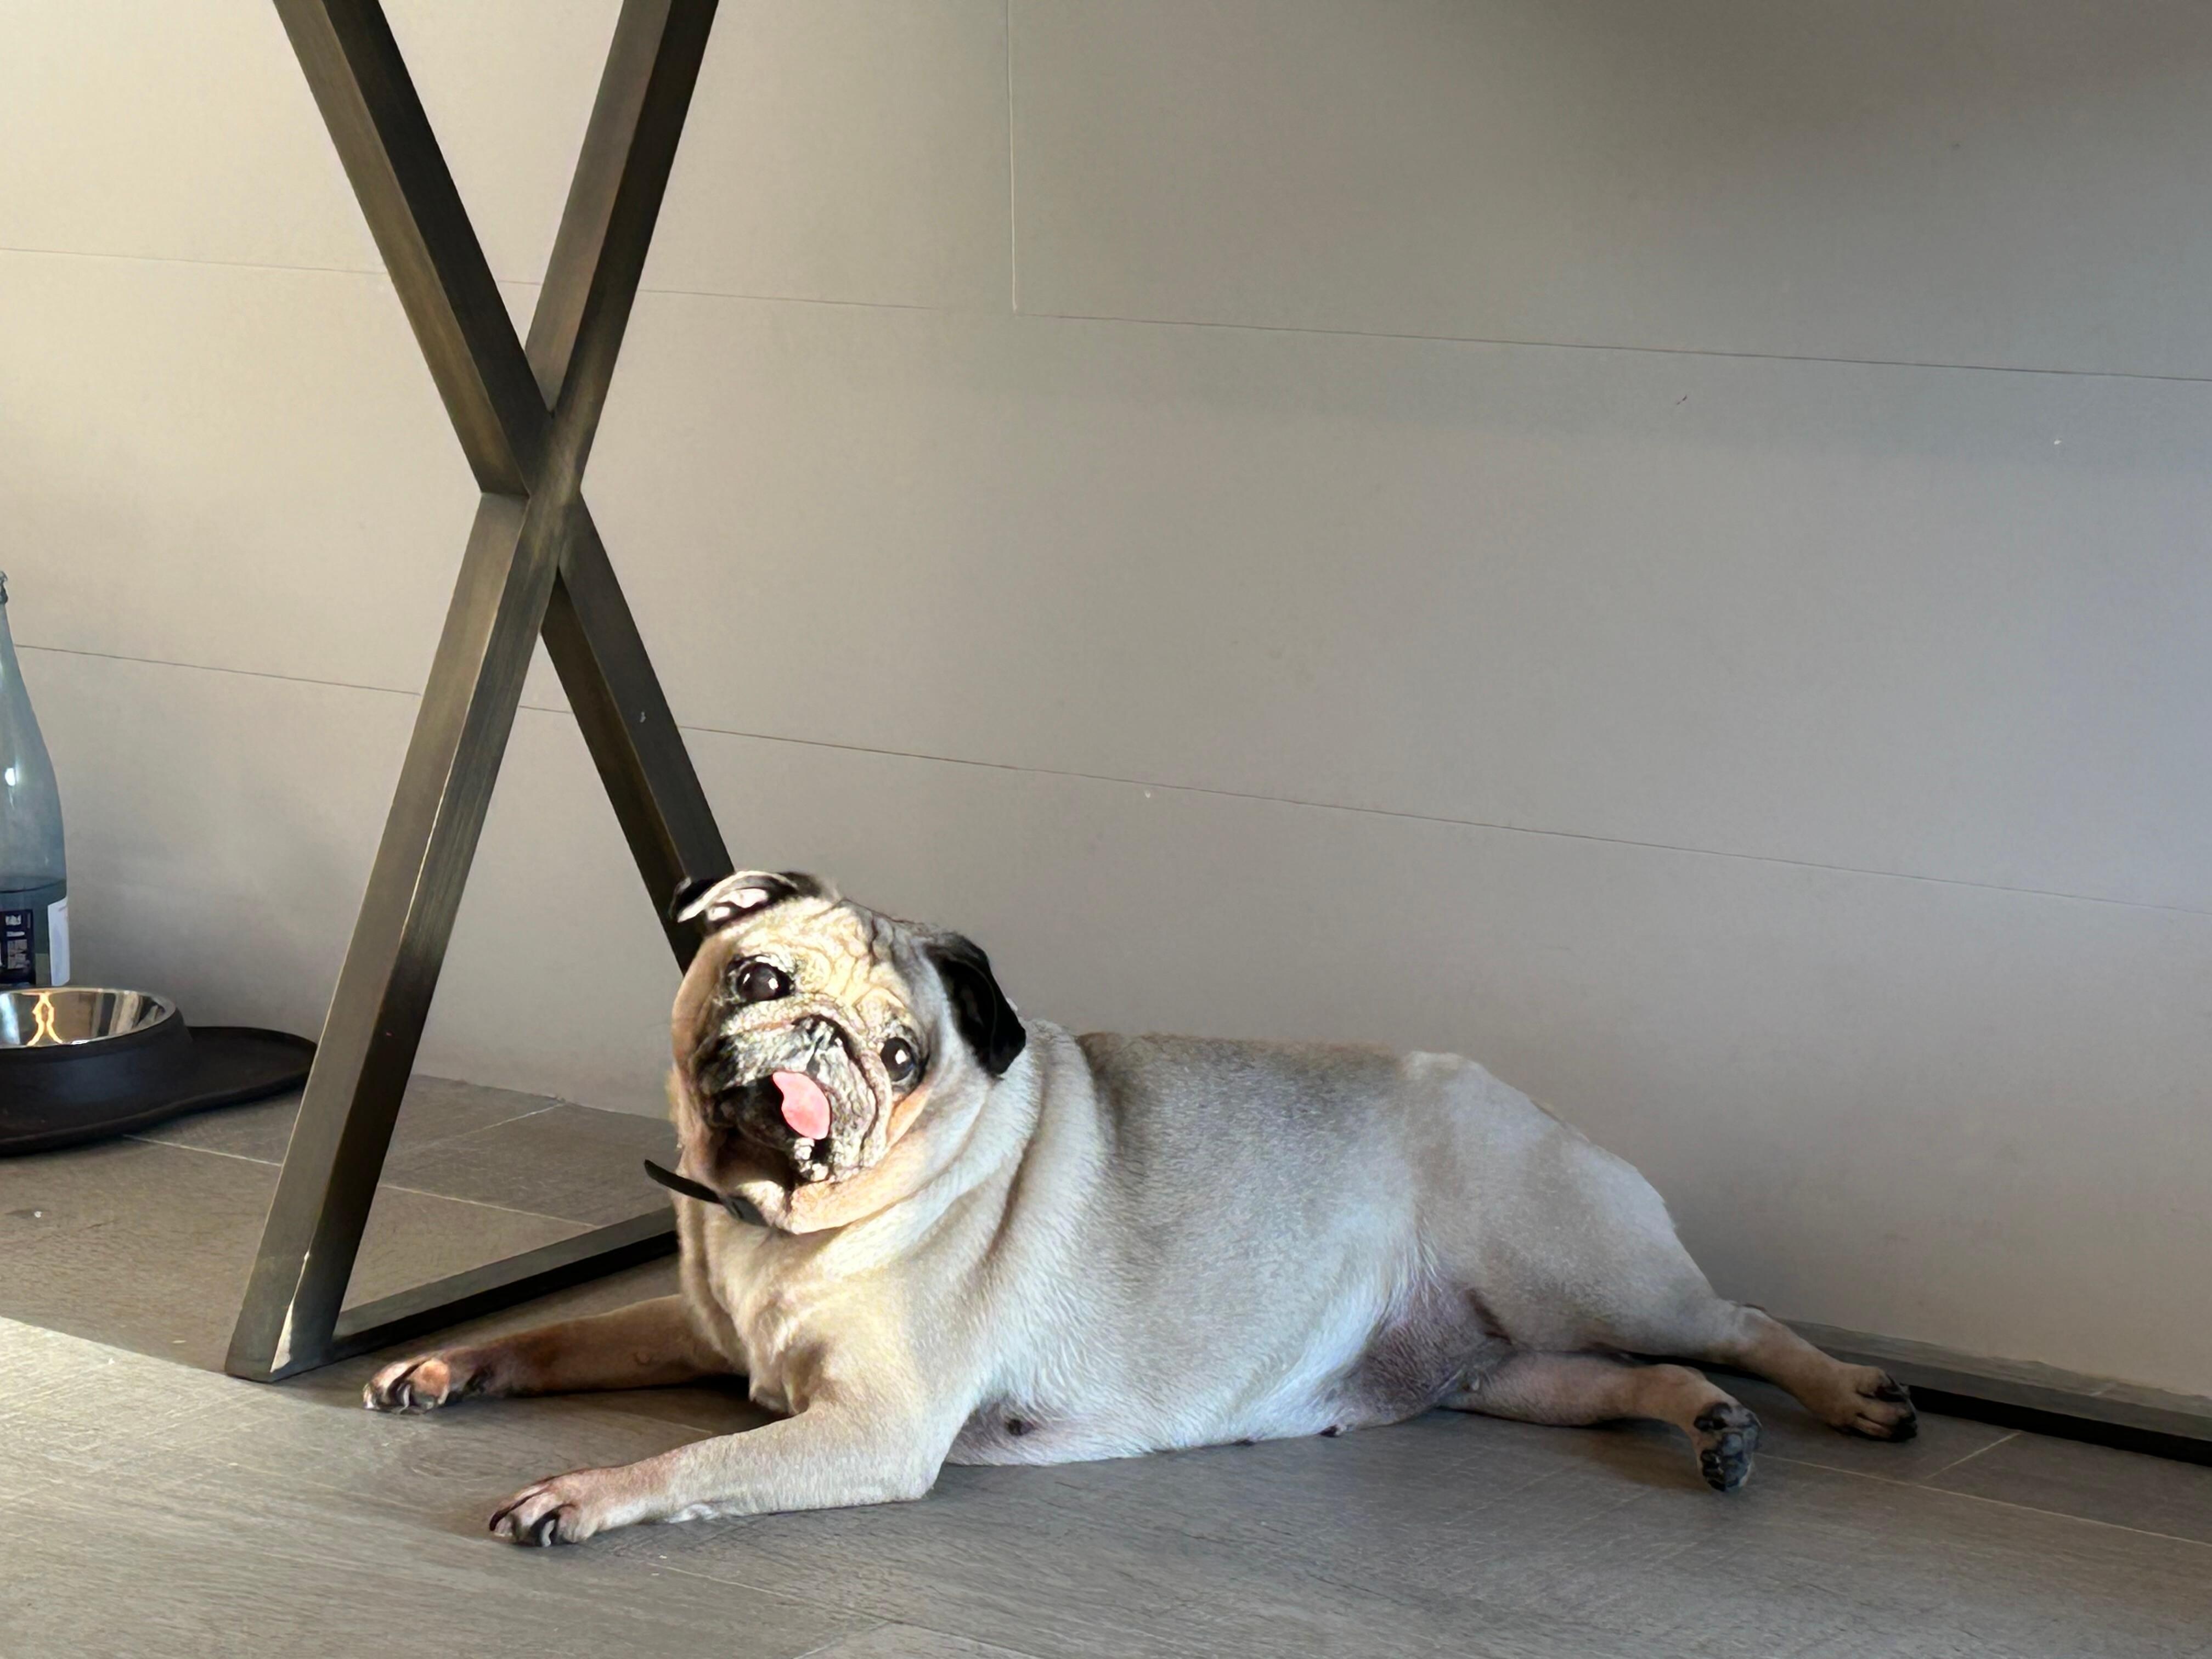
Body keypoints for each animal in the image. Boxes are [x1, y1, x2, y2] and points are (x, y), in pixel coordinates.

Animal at [366, 871, 1916, 1545]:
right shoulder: (701, 1332)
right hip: (1508, 1372)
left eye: (903, 1058)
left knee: (1740, 1323)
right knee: (1628, 1383)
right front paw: (451, 1364)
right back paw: (1711, 1433)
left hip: (1580, 1272)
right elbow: (562, 1335)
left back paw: (1845, 1396)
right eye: (757, 978)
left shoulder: (873, 1430)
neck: (759, 1223)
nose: (817, 1047)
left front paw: (585, 1492)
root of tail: (1532, 1104)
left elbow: (690, 1462)